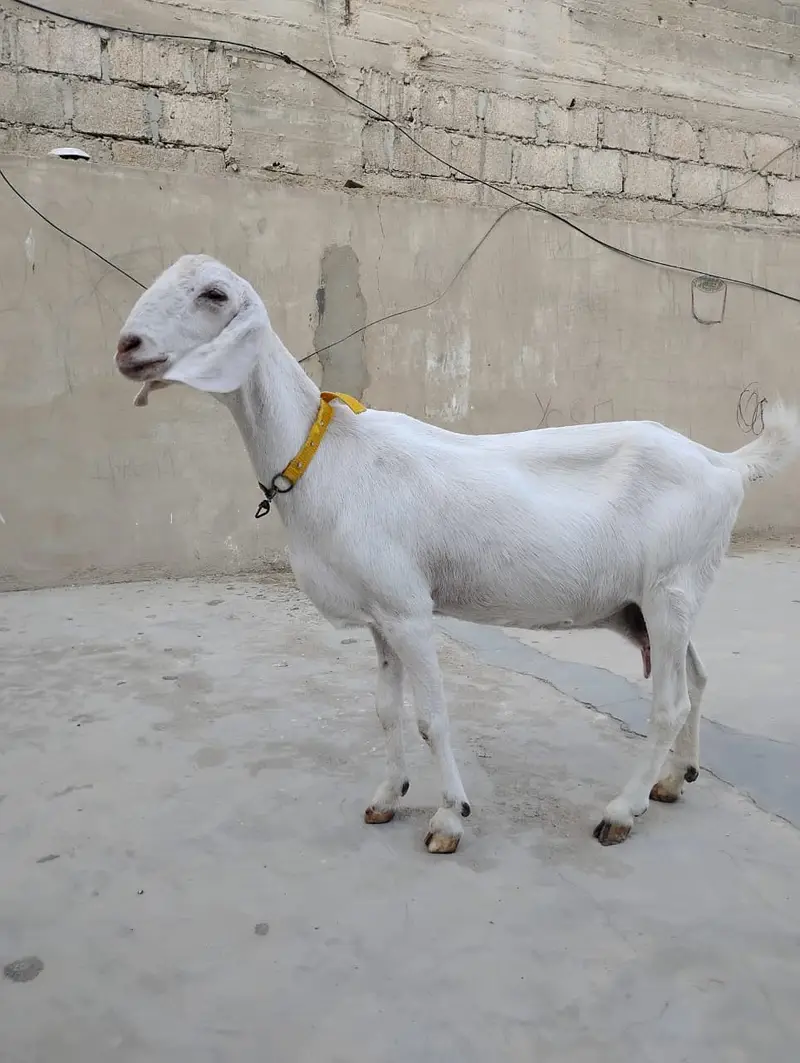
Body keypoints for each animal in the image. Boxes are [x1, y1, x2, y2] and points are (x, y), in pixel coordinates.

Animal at [115, 254, 800, 852]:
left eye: (214, 294)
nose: (127, 346)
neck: (327, 456)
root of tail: (725, 464)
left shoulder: (409, 611)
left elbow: (431, 718)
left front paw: (449, 817)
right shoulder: (380, 615)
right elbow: (386, 711)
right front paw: (387, 796)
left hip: (669, 591)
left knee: (668, 703)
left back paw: (620, 811)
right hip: (647, 607)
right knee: (698, 679)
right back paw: (673, 781)